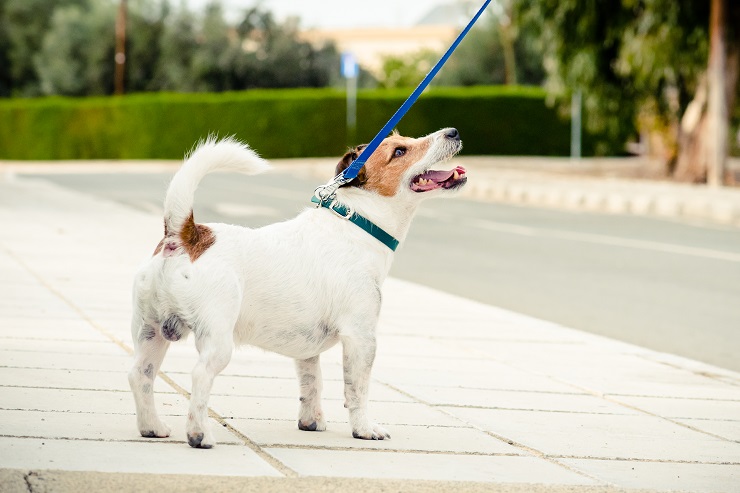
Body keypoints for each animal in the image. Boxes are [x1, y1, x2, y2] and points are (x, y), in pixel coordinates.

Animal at [126, 126, 462, 446]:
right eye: (400, 151)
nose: (454, 132)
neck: (359, 223)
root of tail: (184, 235)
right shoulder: (361, 337)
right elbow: (357, 390)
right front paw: (365, 429)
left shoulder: (307, 351)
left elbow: (311, 383)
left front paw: (311, 422)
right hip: (216, 337)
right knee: (199, 376)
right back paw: (200, 435)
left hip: (150, 332)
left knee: (139, 375)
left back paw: (152, 427)